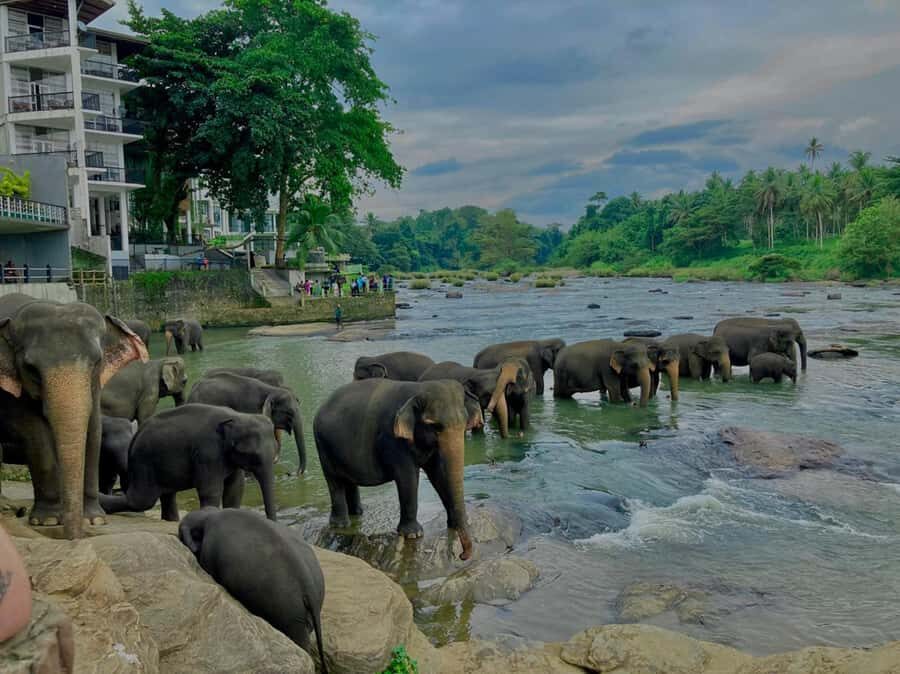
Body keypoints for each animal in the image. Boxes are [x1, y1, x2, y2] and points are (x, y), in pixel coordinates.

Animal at [0, 293, 148, 538]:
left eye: (97, 361)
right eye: (30, 368)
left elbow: (93, 430)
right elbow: (33, 432)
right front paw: (48, 521)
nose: (74, 538)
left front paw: (95, 520)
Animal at [99, 404, 278, 522]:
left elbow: (235, 488)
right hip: (144, 465)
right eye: (252, 455)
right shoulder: (207, 452)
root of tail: (136, 435)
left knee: (166, 496)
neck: (238, 416)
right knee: (141, 500)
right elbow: (211, 490)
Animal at [313, 379, 483, 559]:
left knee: (348, 481)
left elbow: (438, 475)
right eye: (434, 426)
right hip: (323, 446)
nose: (461, 556)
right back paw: (340, 525)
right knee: (334, 481)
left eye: (465, 423)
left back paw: (357, 513)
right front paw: (413, 535)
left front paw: (452, 524)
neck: (418, 389)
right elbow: (407, 477)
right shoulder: (392, 440)